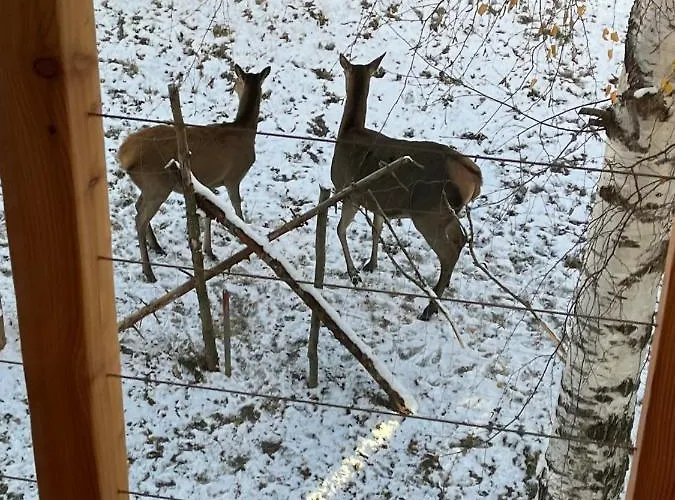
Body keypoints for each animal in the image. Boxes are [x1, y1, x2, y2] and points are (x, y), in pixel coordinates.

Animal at [118, 64, 271, 283]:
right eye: (237, 80)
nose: (232, 87)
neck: (245, 132)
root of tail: (124, 154)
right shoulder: (233, 177)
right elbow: (237, 210)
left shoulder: (210, 183)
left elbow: (210, 215)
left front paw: (209, 251)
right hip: (157, 185)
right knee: (140, 219)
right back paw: (149, 272)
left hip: (148, 186)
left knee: (138, 208)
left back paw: (156, 247)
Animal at [331, 53, 483, 320]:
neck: (349, 132)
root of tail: (475, 178)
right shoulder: (378, 201)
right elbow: (377, 229)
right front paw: (371, 264)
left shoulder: (349, 191)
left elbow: (340, 230)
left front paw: (354, 274)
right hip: (448, 213)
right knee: (461, 240)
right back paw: (441, 291)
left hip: (428, 211)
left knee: (449, 251)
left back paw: (430, 308)